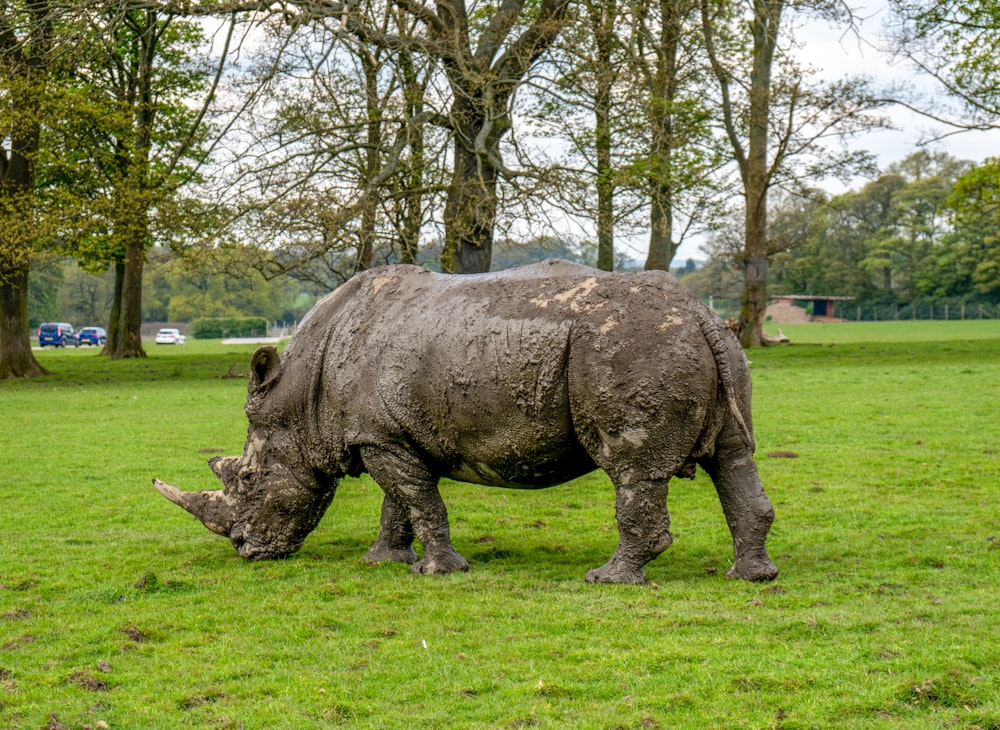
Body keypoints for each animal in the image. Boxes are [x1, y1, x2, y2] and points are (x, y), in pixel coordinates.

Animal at [154, 258, 780, 584]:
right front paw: (383, 561)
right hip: (709, 347)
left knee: (632, 470)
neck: (300, 395)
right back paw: (751, 578)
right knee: (734, 457)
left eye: (249, 479)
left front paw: (439, 573)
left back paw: (608, 579)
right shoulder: (388, 434)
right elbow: (401, 503)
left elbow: (416, 499)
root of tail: (701, 314)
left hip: (630, 345)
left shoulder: (380, 437)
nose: (245, 550)